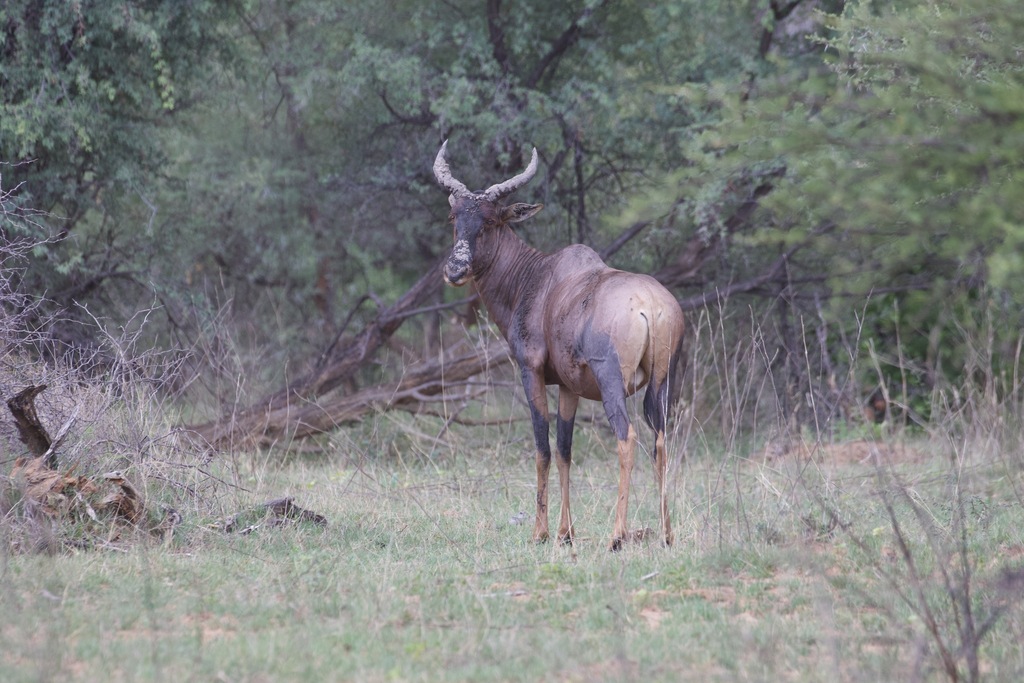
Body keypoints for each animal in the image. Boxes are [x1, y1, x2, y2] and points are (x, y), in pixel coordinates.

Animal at [434, 140, 688, 548]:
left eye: (490, 220)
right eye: (454, 216)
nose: (455, 270)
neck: (539, 278)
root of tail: (650, 304)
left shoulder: (531, 371)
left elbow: (542, 447)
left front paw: (540, 532)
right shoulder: (570, 387)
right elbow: (565, 449)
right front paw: (565, 533)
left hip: (612, 380)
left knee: (627, 437)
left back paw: (616, 536)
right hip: (663, 381)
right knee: (660, 442)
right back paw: (666, 534)